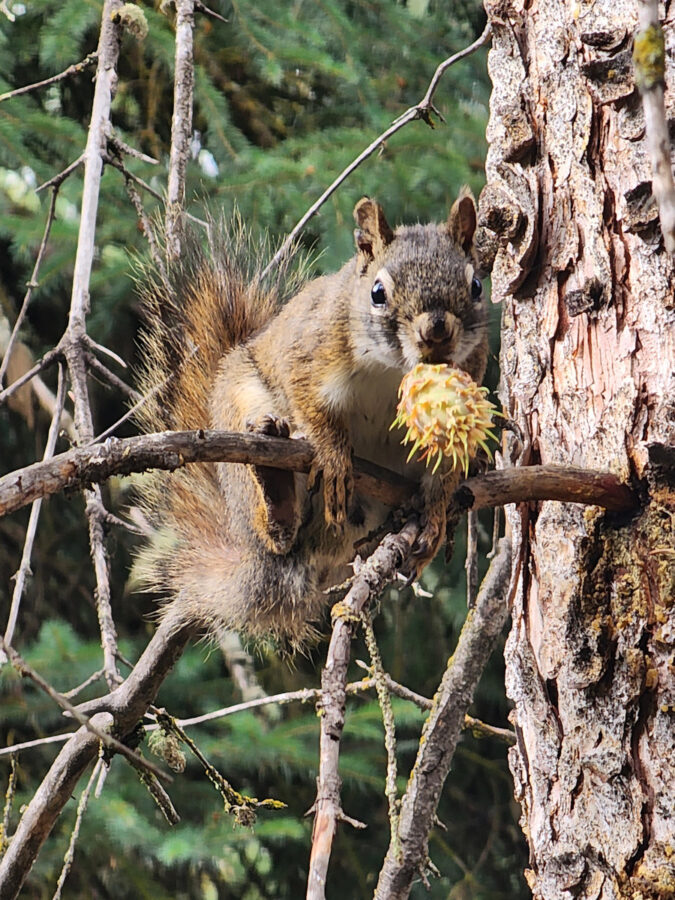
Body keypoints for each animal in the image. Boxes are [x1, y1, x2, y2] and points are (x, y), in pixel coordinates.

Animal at [133, 192, 488, 649]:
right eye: (378, 293)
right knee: (277, 533)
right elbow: (312, 406)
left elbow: (445, 467)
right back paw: (275, 489)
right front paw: (334, 458)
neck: (394, 370)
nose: (437, 331)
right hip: (238, 415)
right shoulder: (308, 351)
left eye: (476, 286)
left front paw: (437, 511)